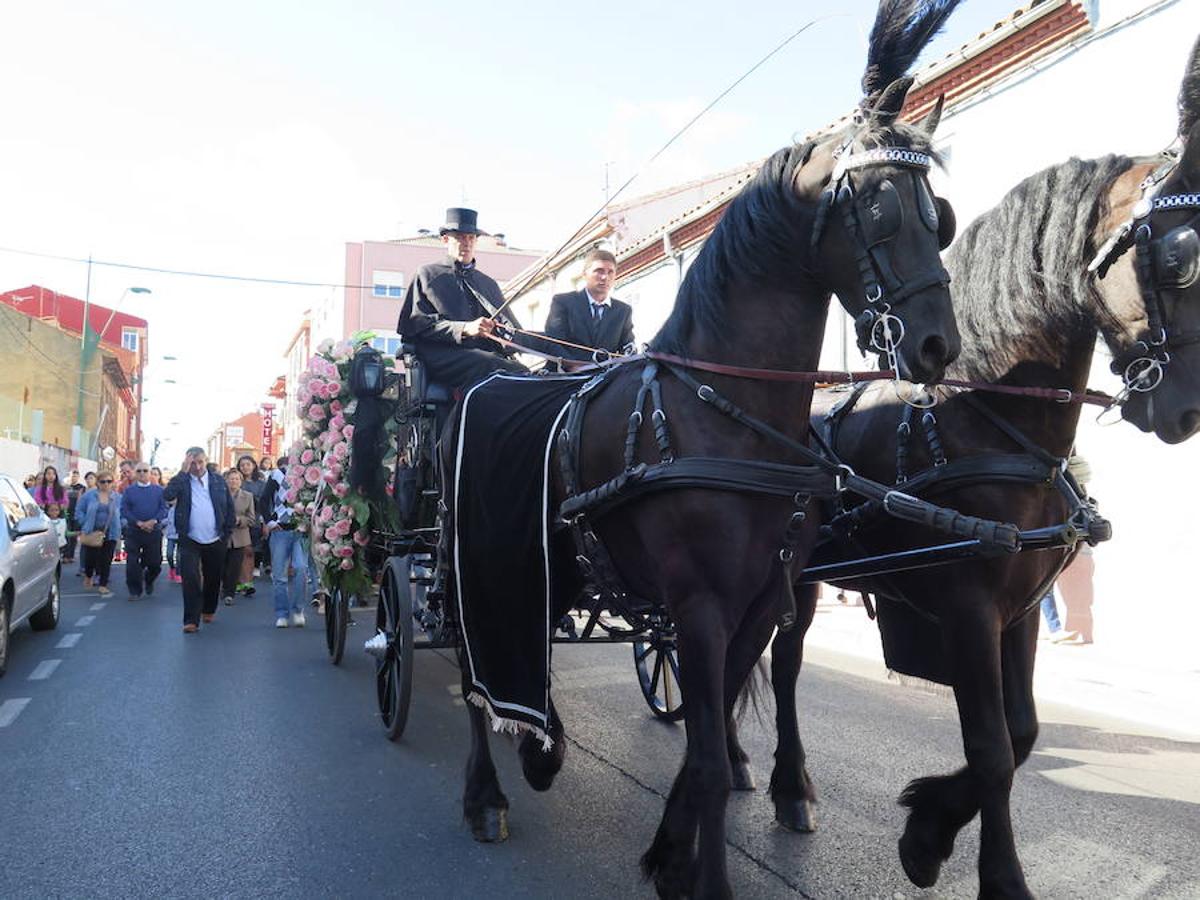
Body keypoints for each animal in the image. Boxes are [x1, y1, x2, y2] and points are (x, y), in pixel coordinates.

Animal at [446, 1, 969, 900]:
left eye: (939, 210)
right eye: (879, 206)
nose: (937, 345)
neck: (726, 415)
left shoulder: (760, 602)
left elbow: (709, 737)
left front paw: (670, 851)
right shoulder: (699, 605)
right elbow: (708, 757)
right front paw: (702, 869)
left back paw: (544, 748)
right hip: (469, 565)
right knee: (474, 669)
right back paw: (487, 789)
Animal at [744, 35, 1200, 900]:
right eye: (1183, 258)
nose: (1185, 410)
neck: (986, 420)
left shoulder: (1018, 612)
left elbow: (1021, 736)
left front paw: (928, 828)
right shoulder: (966, 612)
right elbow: (991, 750)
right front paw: (988, 869)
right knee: (768, 663)